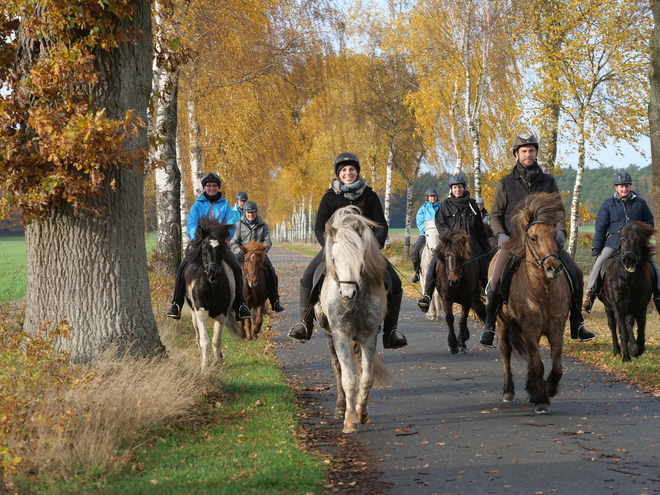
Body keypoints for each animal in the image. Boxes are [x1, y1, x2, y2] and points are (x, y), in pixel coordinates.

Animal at [186, 219, 242, 370]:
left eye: (220, 248)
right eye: (204, 248)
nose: (213, 273)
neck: (211, 287)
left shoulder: (222, 314)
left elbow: (217, 340)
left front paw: (216, 363)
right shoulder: (200, 312)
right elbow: (204, 340)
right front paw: (205, 366)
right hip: (194, 315)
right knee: (198, 338)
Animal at [316, 205, 390, 434]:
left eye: (360, 259)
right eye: (334, 260)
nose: (347, 294)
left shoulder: (368, 336)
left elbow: (366, 377)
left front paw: (361, 413)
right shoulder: (340, 335)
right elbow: (348, 379)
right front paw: (349, 420)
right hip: (330, 336)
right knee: (338, 369)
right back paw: (341, 408)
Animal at [490, 193, 572, 414]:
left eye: (554, 236)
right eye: (533, 238)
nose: (553, 268)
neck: (543, 290)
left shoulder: (556, 328)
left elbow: (556, 367)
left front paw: (549, 389)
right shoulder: (530, 328)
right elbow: (538, 365)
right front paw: (542, 399)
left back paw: (531, 389)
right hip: (502, 323)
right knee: (506, 352)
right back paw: (508, 391)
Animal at [600, 223, 656, 362]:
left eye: (639, 240)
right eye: (622, 239)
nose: (629, 260)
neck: (628, 278)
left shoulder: (641, 307)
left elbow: (640, 335)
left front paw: (635, 350)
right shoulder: (617, 306)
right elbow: (623, 333)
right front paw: (626, 357)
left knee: (629, 325)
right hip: (608, 307)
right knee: (613, 326)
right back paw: (617, 350)